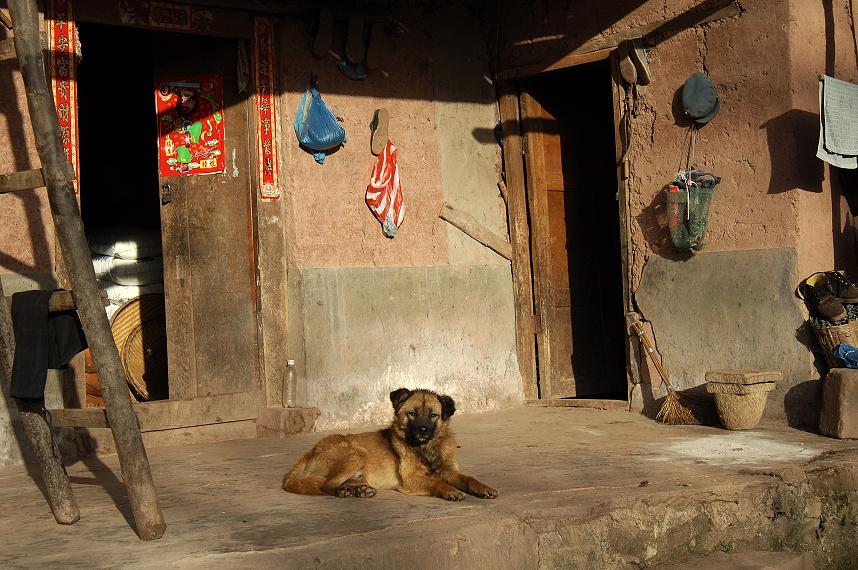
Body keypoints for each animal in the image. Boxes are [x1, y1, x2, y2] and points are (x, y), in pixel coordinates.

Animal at [280, 386, 498, 502]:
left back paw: (359, 490)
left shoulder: (450, 470)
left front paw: (482, 488)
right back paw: (344, 492)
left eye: (433, 415)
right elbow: (436, 482)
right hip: (356, 453)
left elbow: (468, 478)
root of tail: (309, 453)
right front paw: (450, 490)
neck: (425, 449)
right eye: (412, 414)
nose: (422, 430)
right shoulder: (410, 478)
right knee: (325, 485)